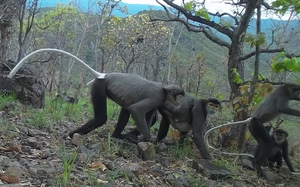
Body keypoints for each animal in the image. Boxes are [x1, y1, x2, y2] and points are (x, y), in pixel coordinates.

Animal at [7, 48, 184, 142]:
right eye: (179, 96)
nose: (180, 103)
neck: (164, 89)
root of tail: (104, 75)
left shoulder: (157, 101)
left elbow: (147, 117)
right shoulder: (157, 96)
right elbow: (137, 111)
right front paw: (148, 139)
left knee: (125, 109)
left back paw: (117, 135)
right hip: (99, 86)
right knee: (102, 118)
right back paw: (71, 136)